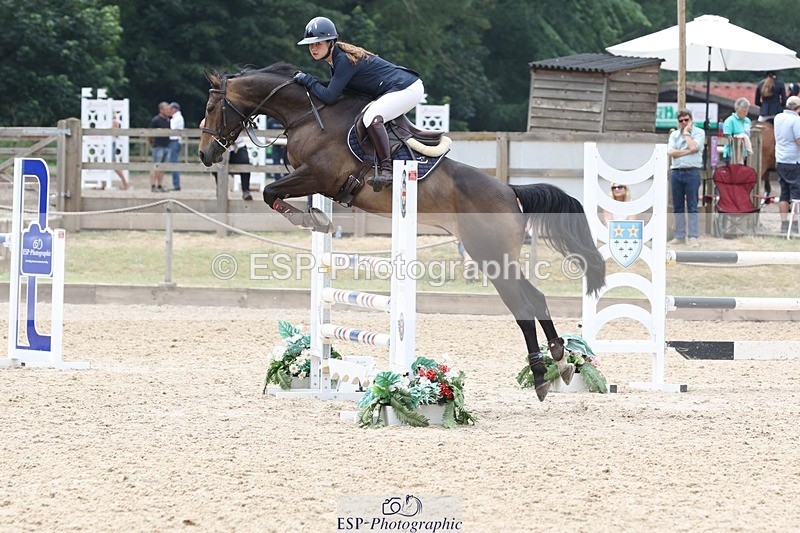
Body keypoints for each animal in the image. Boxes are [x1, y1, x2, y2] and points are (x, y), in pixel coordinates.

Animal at [198, 62, 606, 401]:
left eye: (211, 107)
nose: (204, 154)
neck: (310, 115)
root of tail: (511, 192)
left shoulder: (318, 175)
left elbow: (270, 191)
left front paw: (312, 220)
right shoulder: (312, 179)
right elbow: (275, 194)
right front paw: (316, 217)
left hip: (491, 257)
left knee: (522, 306)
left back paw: (540, 377)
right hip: (495, 256)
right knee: (536, 297)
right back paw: (560, 361)